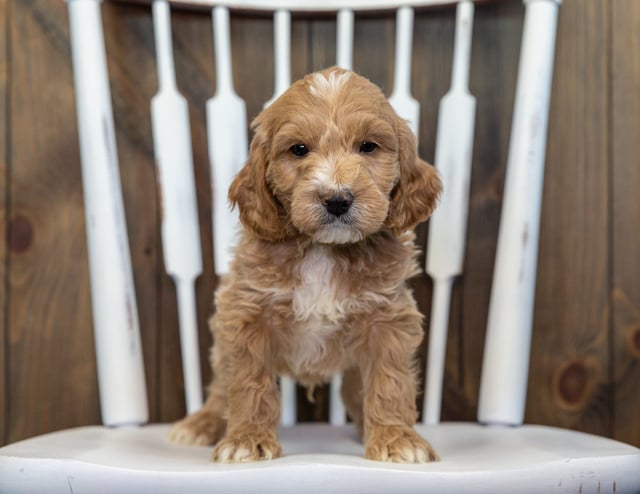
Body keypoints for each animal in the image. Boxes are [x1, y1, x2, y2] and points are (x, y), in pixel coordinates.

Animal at [168, 66, 442, 464]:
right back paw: (201, 423)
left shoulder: (387, 318)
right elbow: (248, 383)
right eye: (298, 149)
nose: (337, 199)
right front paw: (247, 439)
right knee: (220, 386)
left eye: (368, 147)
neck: (323, 249)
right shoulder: (247, 315)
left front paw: (396, 438)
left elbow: (390, 380)